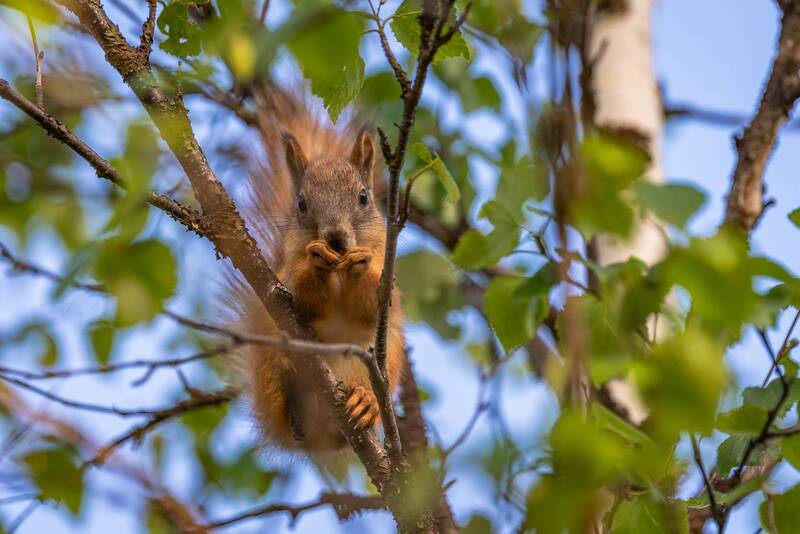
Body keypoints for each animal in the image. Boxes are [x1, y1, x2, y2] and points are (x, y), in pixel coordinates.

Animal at [224, 86, 406, 454]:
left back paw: (365, 402)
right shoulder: (286, 271)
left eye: (363, 197)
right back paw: (290, 371)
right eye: (301, 204)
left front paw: (360, 264)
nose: (335, 238)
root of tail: (317, 437)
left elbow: (371, 307)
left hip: (385, 359)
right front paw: (317, 261)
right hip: (267, 349)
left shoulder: (387, 275)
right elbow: (304, 299)